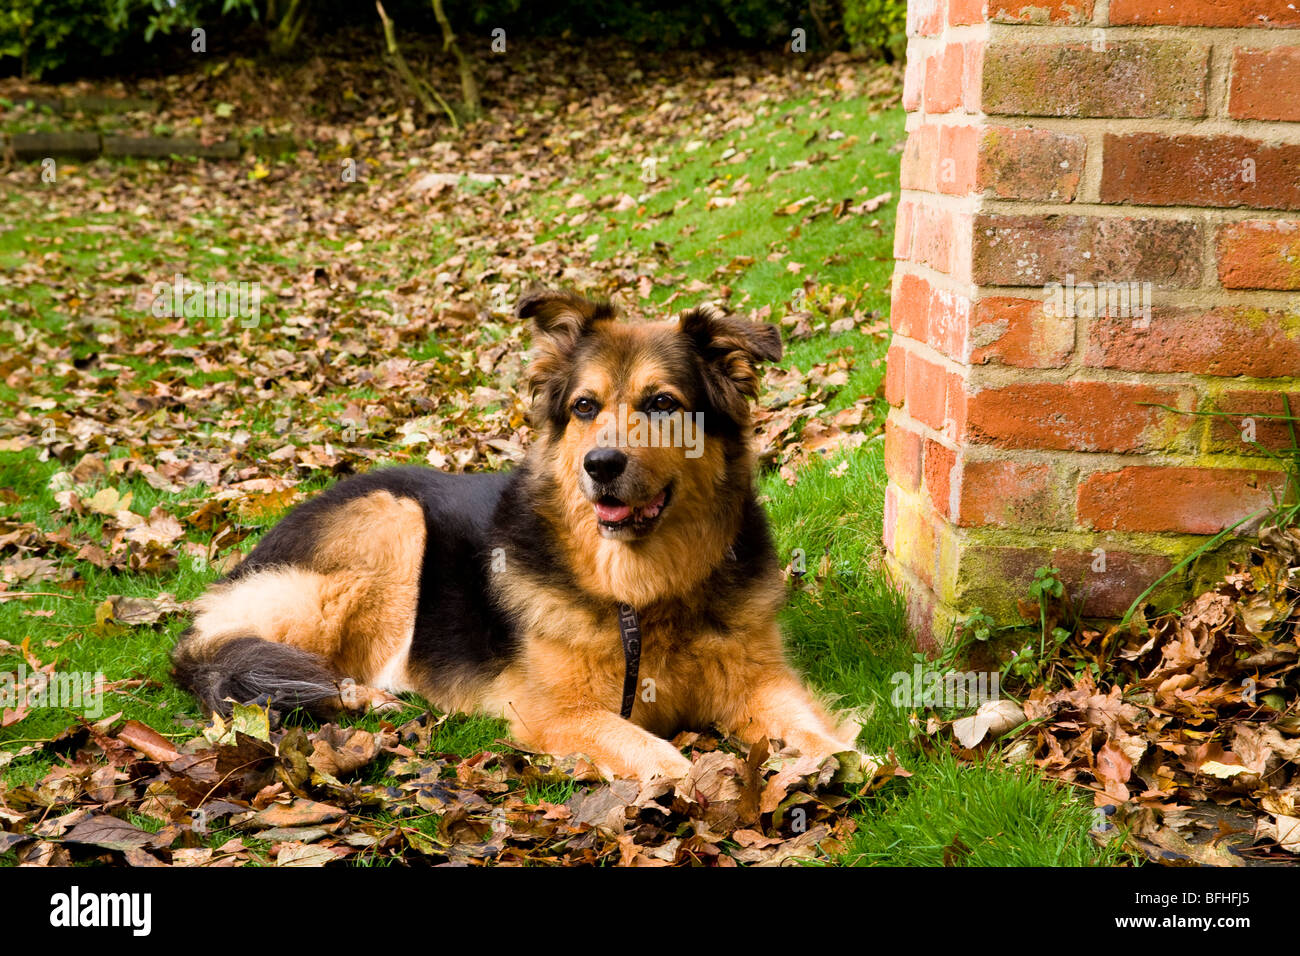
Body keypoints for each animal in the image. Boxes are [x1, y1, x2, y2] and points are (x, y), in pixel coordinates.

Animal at [172, 287, 863, 780]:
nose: (601, 466)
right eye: (584, 407)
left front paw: (842, 756)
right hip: (393, 521)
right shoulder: (555, 712)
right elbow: (651, 751)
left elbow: (806, 724)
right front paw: (684, 774)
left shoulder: (758, 680)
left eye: (663, 404)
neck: (644, 589)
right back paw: (367, 699)